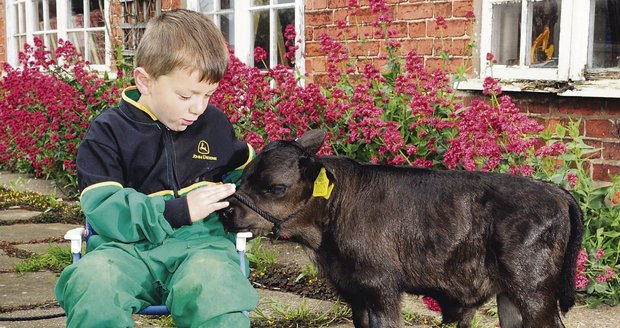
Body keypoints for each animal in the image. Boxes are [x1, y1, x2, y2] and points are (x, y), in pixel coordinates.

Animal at [220, 129, 584, 326]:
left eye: (275, 188)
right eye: (244, 176)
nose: (226, 212)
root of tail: (556, 191)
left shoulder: (381, 288)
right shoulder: (354, 293)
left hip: (535, 292)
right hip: (510, 297)